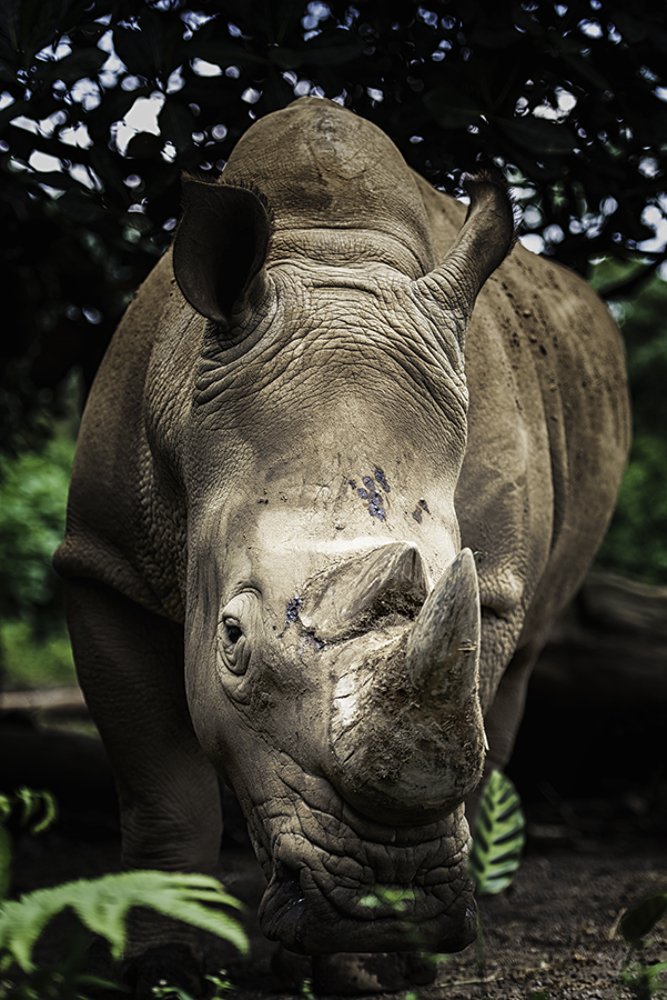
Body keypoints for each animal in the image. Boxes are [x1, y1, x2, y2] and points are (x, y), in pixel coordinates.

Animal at [55, 97, 629, 994]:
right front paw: (163, 967)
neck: (329, 264)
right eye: (231, 639)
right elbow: (164, 795)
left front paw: (370, 967)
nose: (390, 897)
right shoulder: (102, 562)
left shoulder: (492, 583)